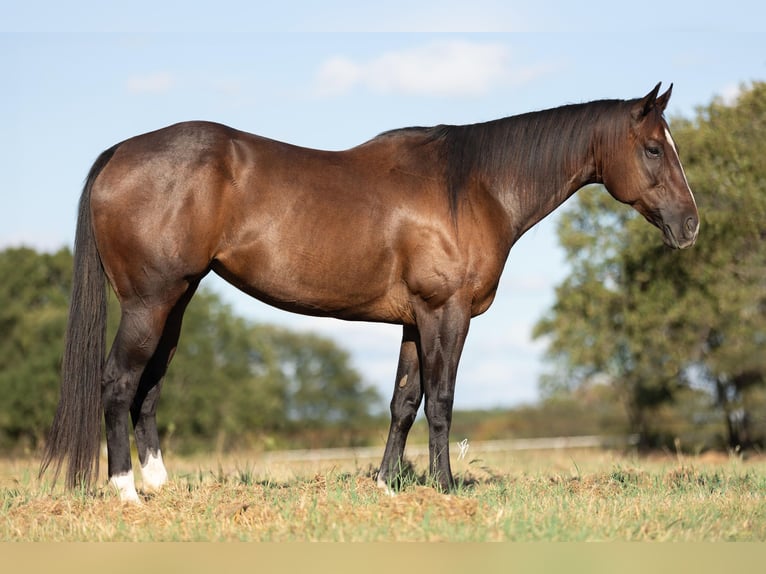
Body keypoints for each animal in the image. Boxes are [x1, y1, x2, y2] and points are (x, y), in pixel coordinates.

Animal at [40, 83, 704, 502]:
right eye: (653, 148)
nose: (691, 225)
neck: (474, 187)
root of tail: (120, 152)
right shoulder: (447, 314)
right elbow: (441, 401)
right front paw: (444, 486)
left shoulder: (414, 320)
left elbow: (403, 401)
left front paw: (388, 483)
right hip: (149, 303)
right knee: (118, 382)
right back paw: (126, 492)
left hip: (176, 301)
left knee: (148, 388)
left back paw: (159, 485)